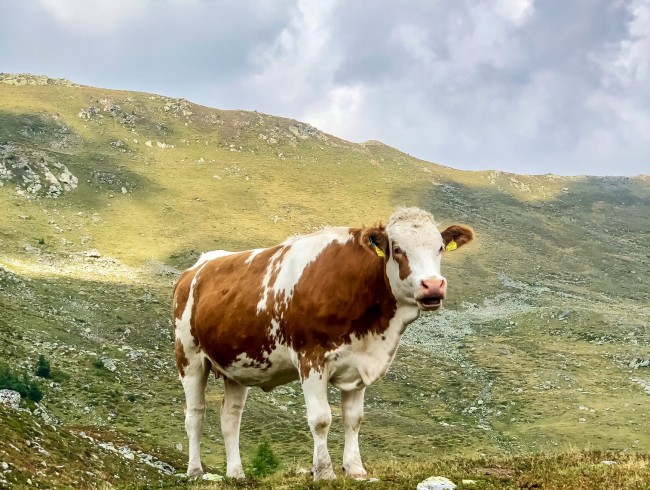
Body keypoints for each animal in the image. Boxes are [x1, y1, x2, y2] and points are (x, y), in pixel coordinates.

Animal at [172, 207, 470, 478]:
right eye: (397, 249)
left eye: (440, 248)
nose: (433, 285)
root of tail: (198, 267)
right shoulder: (311, 358)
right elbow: (321, 419)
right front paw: (324, 472)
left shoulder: (359, 362)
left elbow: (354, 419)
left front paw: (355, 469)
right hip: (189, 356)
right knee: (195, 415)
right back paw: (195, 471)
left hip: (237, 365)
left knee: (230, 418)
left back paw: (236, 473)